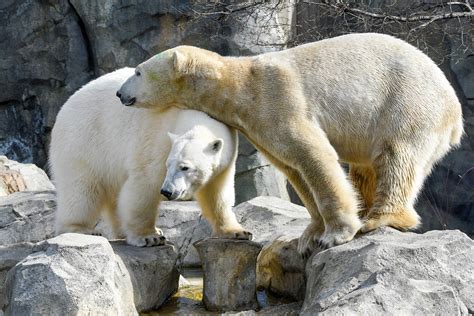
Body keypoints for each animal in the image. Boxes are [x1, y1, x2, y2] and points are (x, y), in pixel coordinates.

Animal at [50, 68, 252, 247]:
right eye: (169, 165)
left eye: (185, 167)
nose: (168, 192)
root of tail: (67, 104)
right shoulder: (156, 139)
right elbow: (145, 183)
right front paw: (149, 237)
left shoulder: (225, 159)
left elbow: (216, 193)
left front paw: (238, 232)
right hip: (84, 141)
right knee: (82, 188)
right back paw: (79, 228)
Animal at [117, 32, 462, 254]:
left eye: (138, 71)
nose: (120, 93)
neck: (239, 87)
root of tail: (455, 112)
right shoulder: (260, 126)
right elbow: (293, 168)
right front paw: (309, 236)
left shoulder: (280, 98)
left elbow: (314, 155)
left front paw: (335, 235)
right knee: (365, 167)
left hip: (407, 104)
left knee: (396, 158)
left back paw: (380, 218)